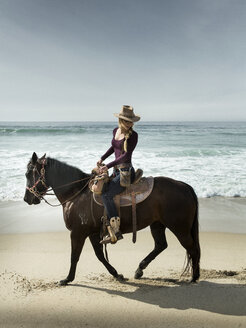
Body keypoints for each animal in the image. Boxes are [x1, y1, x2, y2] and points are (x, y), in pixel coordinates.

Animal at [23, 153, 200, 284]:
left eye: (27, 174)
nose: (26, 198)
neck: (76, 193)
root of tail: (184, 186)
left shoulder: (78, 233)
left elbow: (75, 256)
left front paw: (67, 279)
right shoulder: (93, 233)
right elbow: (100, 255)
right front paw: (116, 274)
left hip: (179, 227)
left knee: (192, 248)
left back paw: (194, 277)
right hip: (157, 224)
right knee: (161, 245)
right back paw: (139, 270)